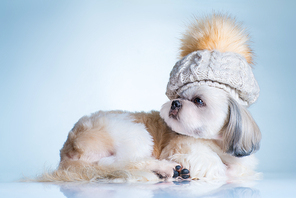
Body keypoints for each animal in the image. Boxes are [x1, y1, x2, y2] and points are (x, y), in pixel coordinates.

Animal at [38, 13, 262, 182]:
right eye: (177, 95)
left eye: (199, 101)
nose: (175, 103)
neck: (217, 144)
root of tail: (68, 150)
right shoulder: (187, 149)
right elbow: (213, 164)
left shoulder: (242, 161)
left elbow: (239, 168)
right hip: (136, 133)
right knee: (118, 162)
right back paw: (167, 169)